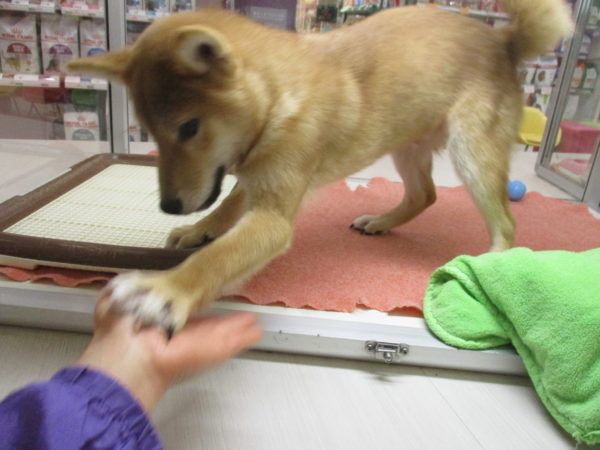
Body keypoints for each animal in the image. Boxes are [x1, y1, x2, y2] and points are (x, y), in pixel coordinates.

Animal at [68, 0, 572, 334]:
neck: (279, 99)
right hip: (407, 143)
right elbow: (229, 202)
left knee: (505, 224)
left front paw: (165, 290)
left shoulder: (273, 216)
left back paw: (488, 263)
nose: (170, 206)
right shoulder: (257, 176)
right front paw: (200, 228)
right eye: (150, 131)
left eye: (189, 128)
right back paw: (381, 220)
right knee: (423, 195)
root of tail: (502, 40)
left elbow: (218, 258)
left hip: (471, 153)